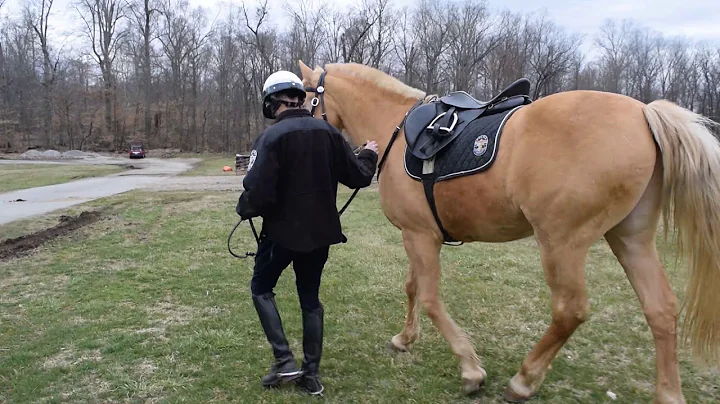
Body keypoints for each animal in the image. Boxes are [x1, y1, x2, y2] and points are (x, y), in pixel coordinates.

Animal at [296, 60, 720, 404]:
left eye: (305, 99)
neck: (397, 129)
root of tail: (644, 113)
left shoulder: (419, 236)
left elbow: (430, 298)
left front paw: (470, 370)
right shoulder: (417, 235)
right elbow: (414, 288)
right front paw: (405, 339)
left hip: (561, 244)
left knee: (570, 311)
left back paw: (524, 380)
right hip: (630, 239)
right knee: (661, 309)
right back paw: (668, 393)